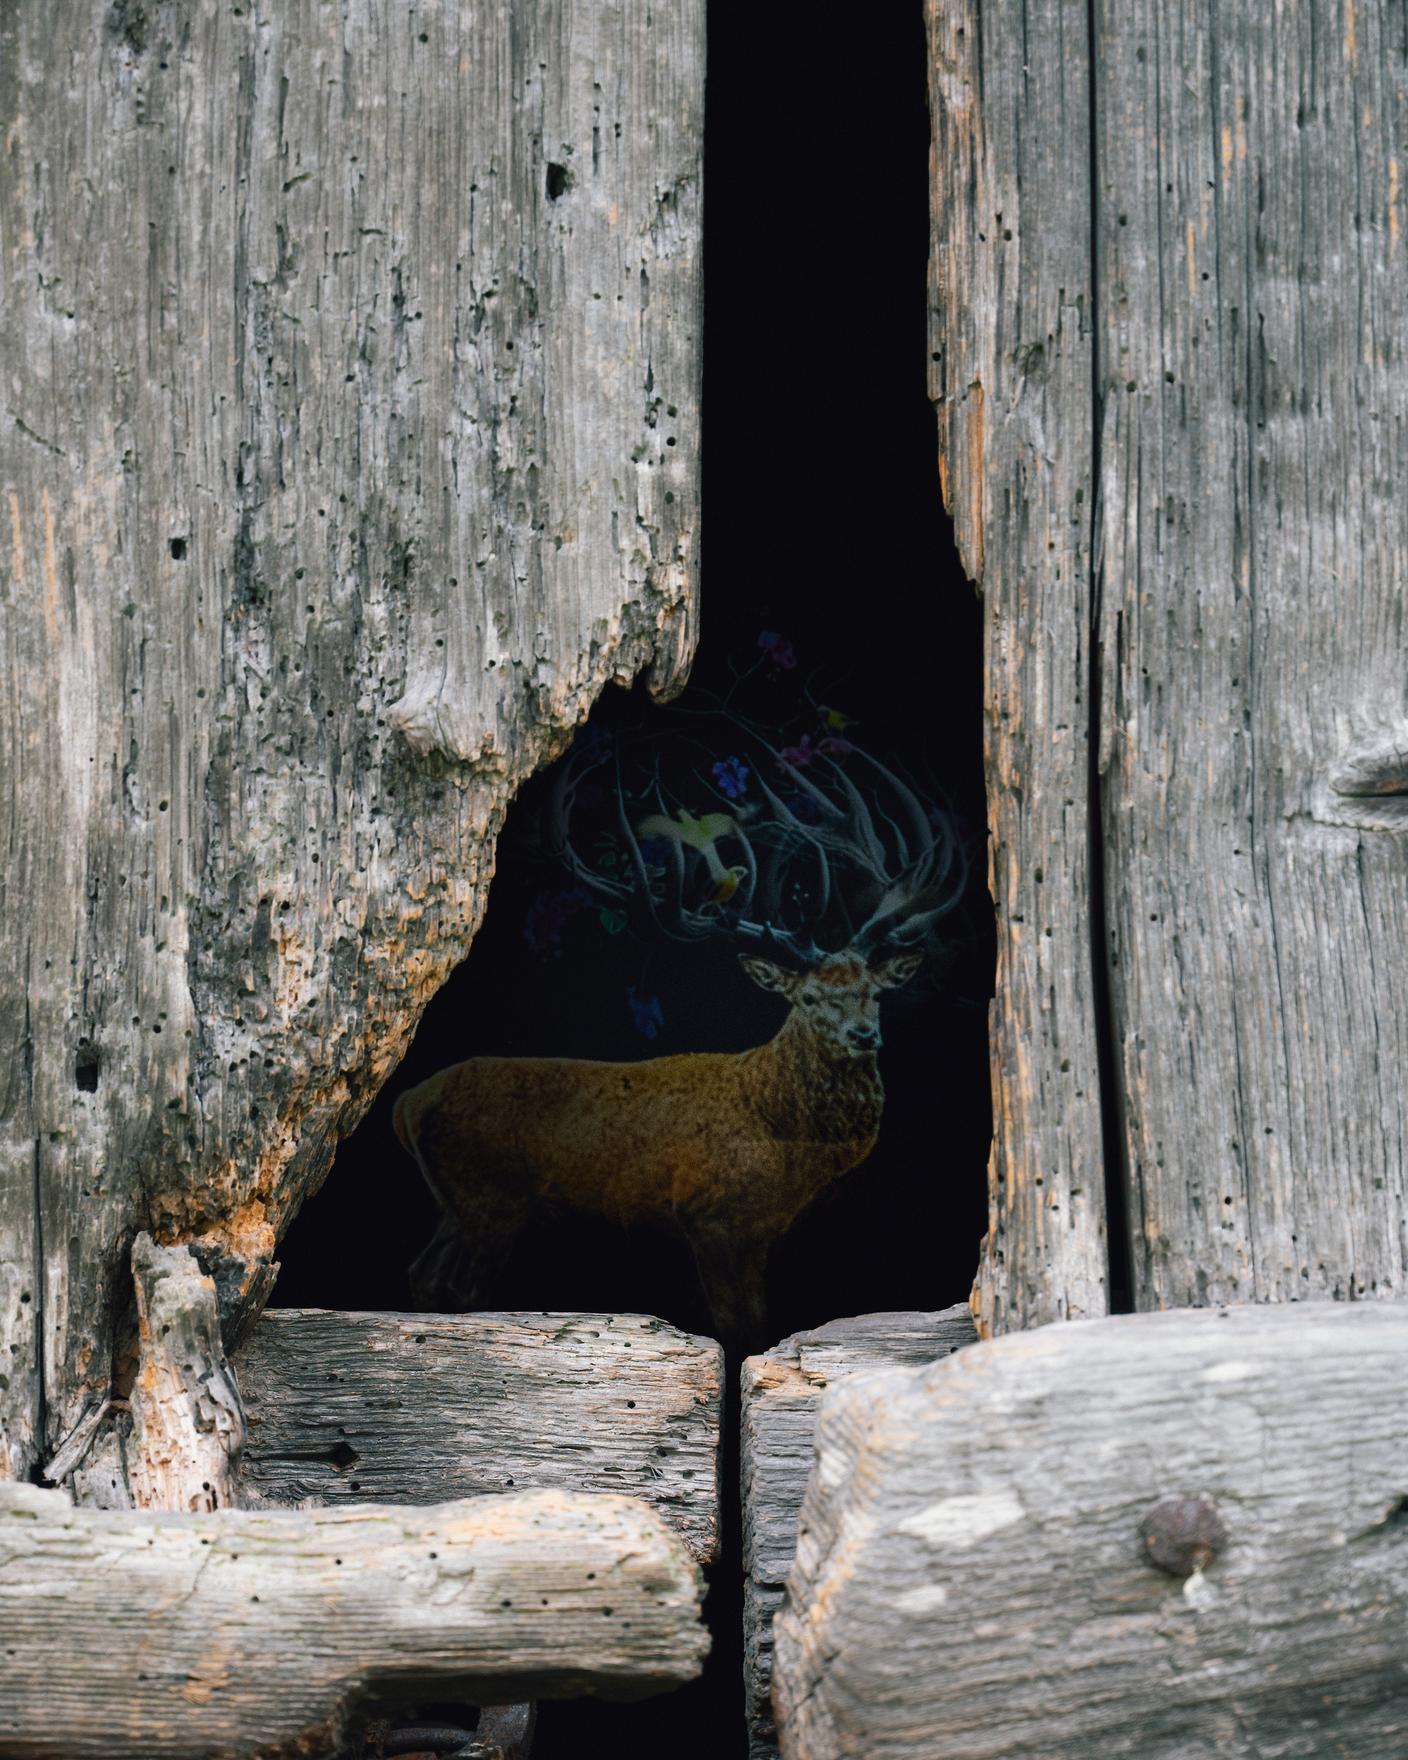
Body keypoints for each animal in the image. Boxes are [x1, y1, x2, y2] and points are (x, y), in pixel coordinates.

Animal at [394, 692, 968, 1350]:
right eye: (807, 998)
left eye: (874, 992)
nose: (863, 1034)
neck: (781, 1135)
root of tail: (407, 1104)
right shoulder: (710, 1214)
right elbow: (739, 1326)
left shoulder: (756, 1231)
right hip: (491, 1195)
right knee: (462, 1286)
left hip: (456, 1205)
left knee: (424, 1274)